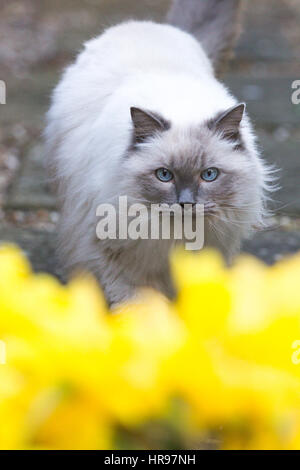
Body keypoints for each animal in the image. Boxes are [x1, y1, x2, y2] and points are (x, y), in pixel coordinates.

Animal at [45, 0, 274, 306]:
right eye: (164, 175)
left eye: (209, 175)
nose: (186, 203)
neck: (177, 237)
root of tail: (151, 26)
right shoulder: (117, 256)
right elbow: (140, 302)